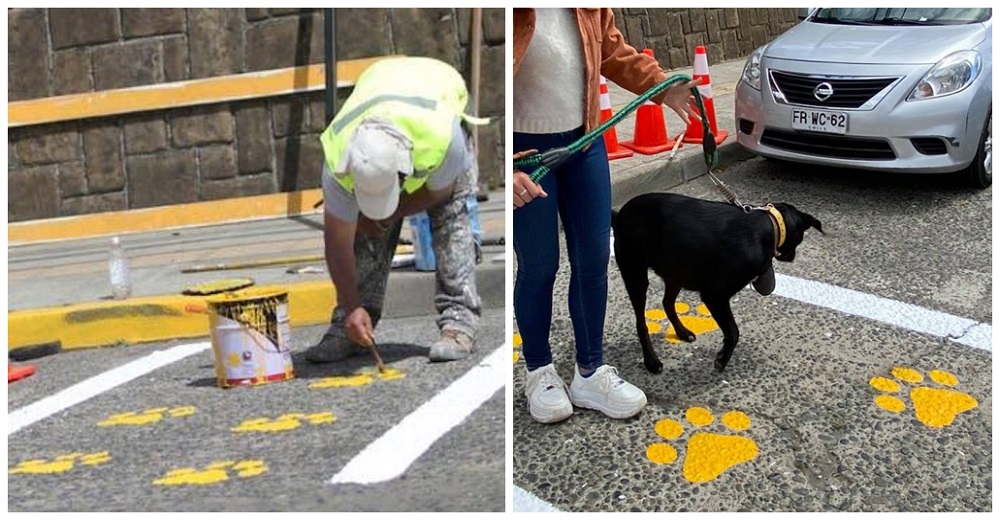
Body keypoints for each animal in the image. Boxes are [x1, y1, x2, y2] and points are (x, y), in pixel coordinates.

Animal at [612, 193, 824, 372]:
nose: (792, 257)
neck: (771, 225)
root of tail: (619, 215)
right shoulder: (715, 296)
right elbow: (733, 332)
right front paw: (722, 358)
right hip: (636, 276)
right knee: (641, 323)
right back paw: (651, 361)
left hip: (675, 272)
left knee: (667, 303)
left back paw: (682, 332)